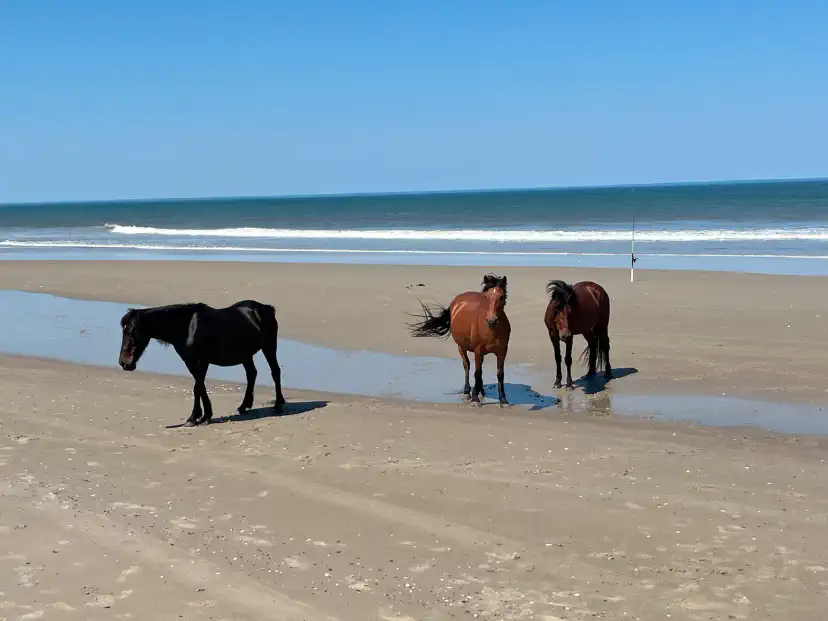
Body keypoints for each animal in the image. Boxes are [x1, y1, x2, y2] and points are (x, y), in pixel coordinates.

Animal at [118, 300, 286, 426]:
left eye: (131, 332)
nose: (123, 363)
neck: (186, 327)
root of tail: (266, 308)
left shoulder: (203, 360)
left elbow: (197, 387)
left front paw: (193, 418)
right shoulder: (190, 361)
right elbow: (201, 386)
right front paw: (205, 415)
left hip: (269, 346)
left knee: (275, 371)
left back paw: (278, 405)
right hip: (246, 354)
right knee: (251, 374)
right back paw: (244, 406)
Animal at [407, 273, 511, 407]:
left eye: (501, 296)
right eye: (486, 297)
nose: (491, 320)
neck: (492, 330)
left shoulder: (502, 351)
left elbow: (500, 374)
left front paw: (503, 400)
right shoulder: (478, 350)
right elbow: (477, 373)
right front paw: (475, 399)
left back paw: (481, 390)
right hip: (461, 347)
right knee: (467, 365)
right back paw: (467, 392)